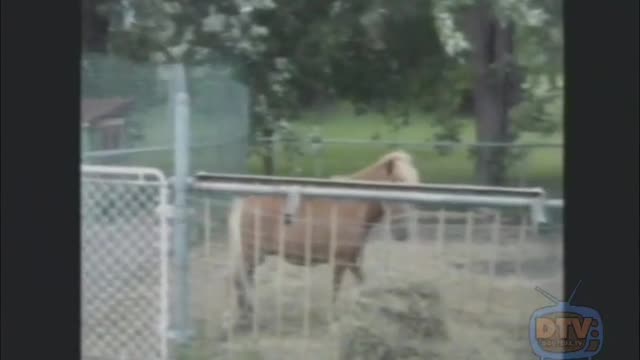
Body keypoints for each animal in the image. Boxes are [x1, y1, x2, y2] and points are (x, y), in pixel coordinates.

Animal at [225, 150, 420, 320]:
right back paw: (247, 317)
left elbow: (361, 282)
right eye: (396, 183)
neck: (355, 204)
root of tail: (245, 201)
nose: (402, 233)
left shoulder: (352, 259)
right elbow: (336, 289)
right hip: (252, 254)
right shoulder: (341, 260)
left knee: (244, 280)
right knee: (241, 280)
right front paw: (332, 318)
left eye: (416, 184)